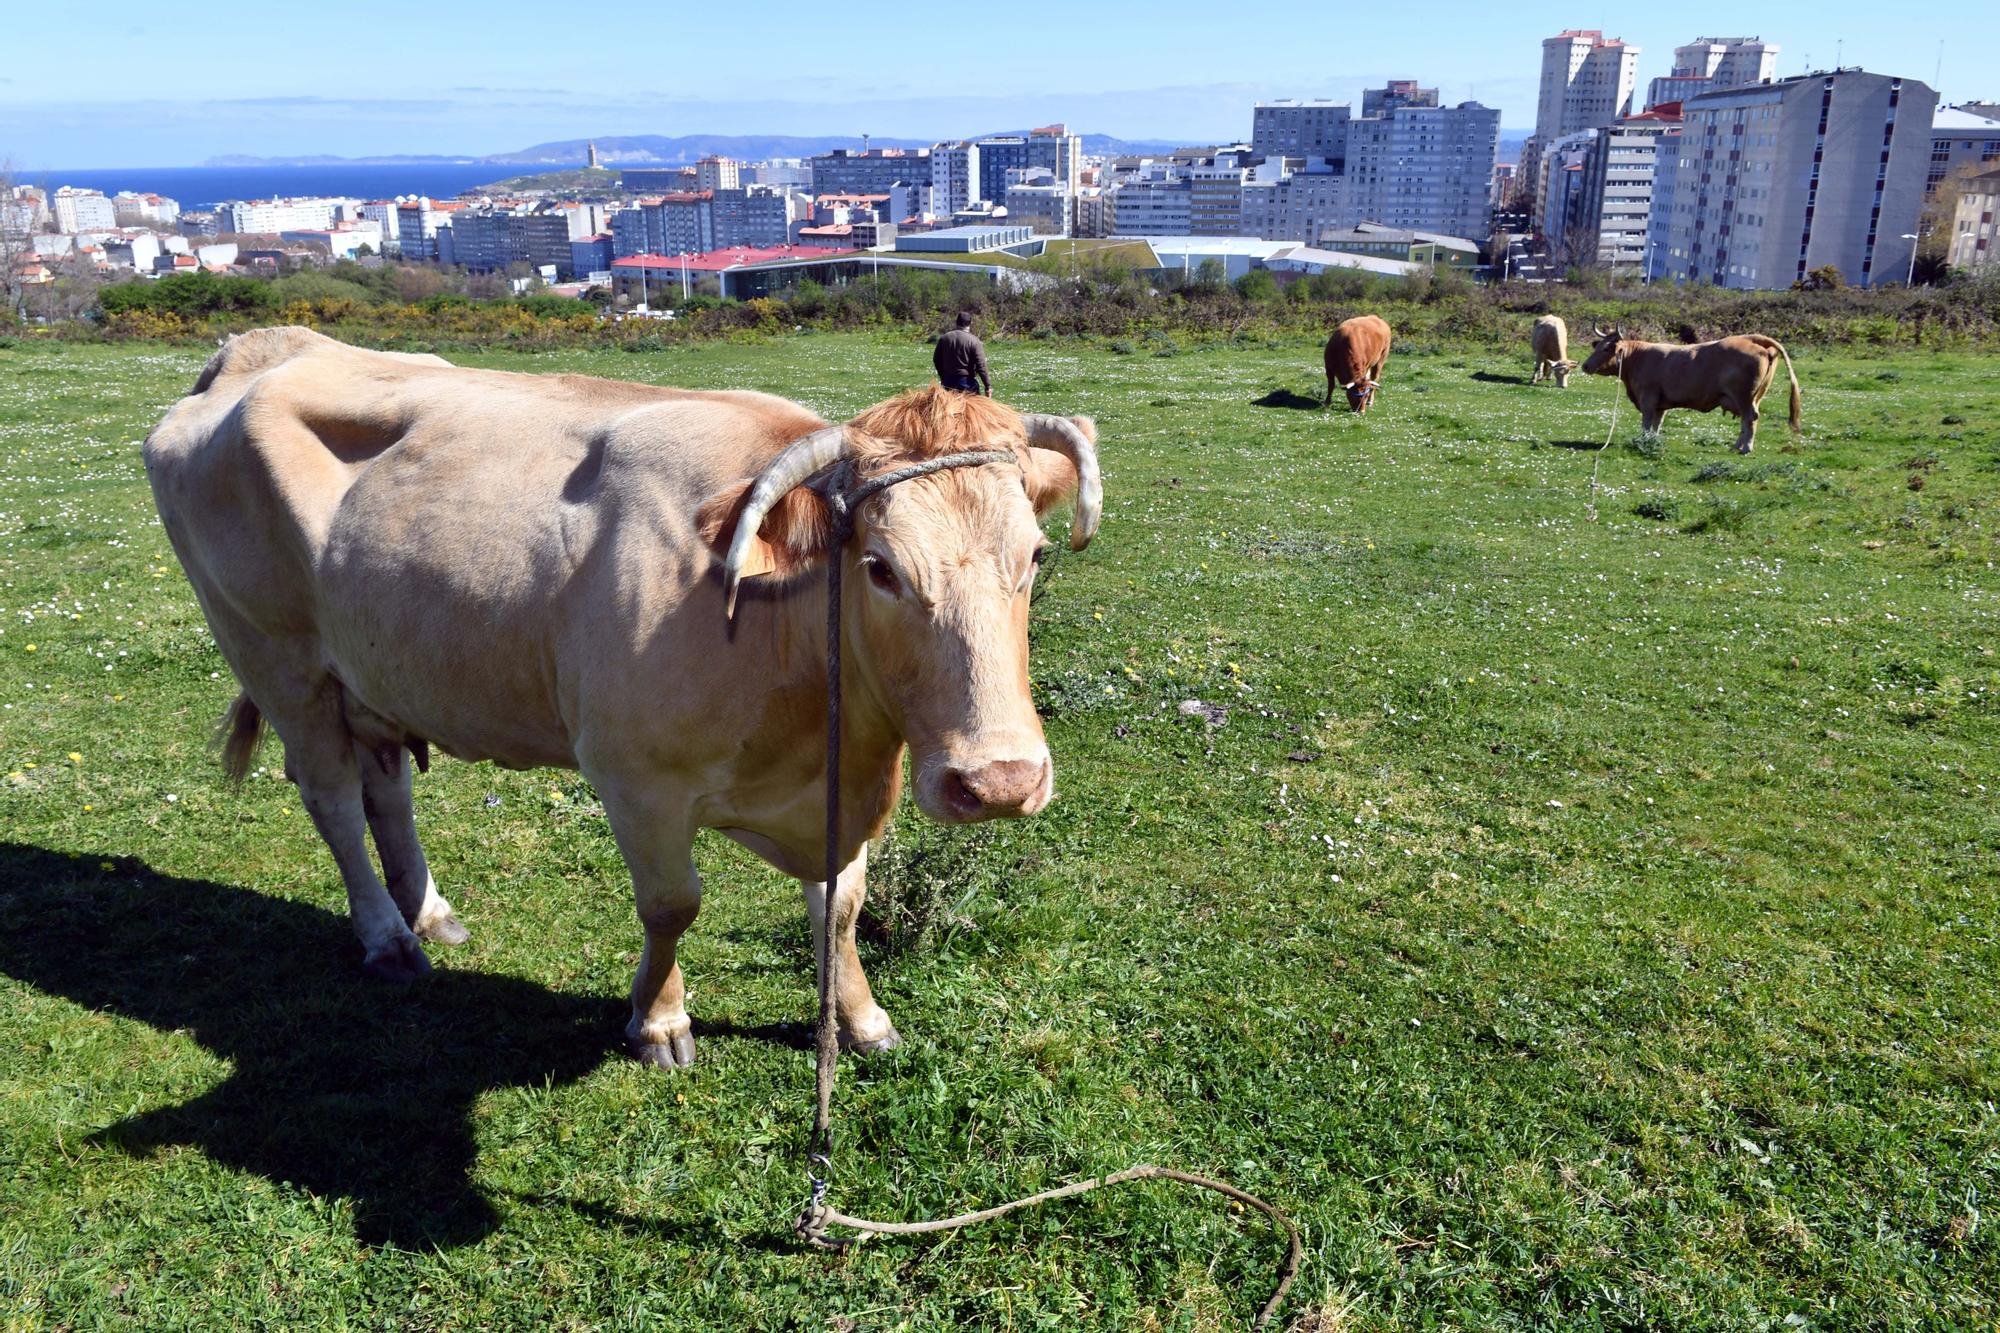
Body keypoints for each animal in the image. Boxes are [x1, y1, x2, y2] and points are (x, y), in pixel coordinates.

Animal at [146, 324, 1104, 1072]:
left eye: (1035, 553)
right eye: (880, 567)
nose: (1002, 782)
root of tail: (256, 351)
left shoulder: (838, 793)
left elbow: (840, 907)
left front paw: (860, 1019)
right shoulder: (635, 777)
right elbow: (673, 903)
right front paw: (658, 1021)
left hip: (376, 670)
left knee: (388, 785)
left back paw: (431, 911)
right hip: (279, 663)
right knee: (335, 796)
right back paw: (387, 936)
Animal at [1584, 322, 1808, 452]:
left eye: (1606, 348)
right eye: (1597, 346)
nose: (1585, 365)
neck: (1637, 357)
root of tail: (1752, 340)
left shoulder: (1648, 400)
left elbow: (1646, 424)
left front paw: (1642, 442)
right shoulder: (1660, 405)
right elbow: (1656, 425)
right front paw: (1652, 442)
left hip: (1744, 396)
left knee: (1750, 418)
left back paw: (1745, 448)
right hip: (1755, 397)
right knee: (1747, 420)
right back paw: (1736, 446)